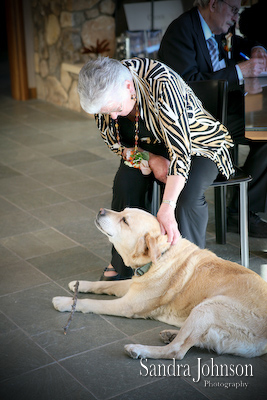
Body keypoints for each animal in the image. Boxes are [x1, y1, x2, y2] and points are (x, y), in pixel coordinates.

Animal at [52, 208, 267, 360]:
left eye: (125, 220)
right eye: (121, 210)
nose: (101, 210)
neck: (159, 256)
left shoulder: (127, 305)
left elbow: (91, 302)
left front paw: (65, 302)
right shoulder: (133, 285)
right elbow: (106, 285)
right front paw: (79, 284)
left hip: (207, 307)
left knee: (176, 351)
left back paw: (139, 349)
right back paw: (170, 334)